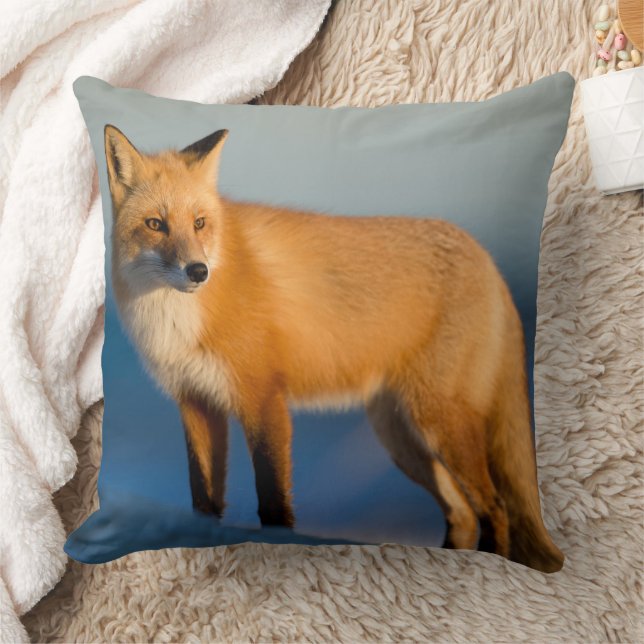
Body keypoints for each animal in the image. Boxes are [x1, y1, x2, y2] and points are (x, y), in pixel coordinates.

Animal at [104, 124, 564, 573]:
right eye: (155, 224)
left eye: (199, 223)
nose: (198, 271)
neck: (181, 320)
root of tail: (485, 256)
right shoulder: (196, 402)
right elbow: (203, 500)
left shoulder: (264, 399)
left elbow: (273, 503)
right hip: (401, 437)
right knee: (464, 514)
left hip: (439, 422)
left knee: (496, 508)